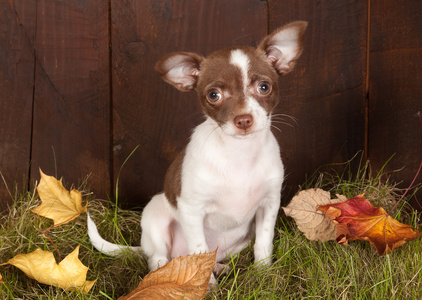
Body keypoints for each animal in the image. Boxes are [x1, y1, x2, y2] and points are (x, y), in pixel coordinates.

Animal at [88, 21, 306, 286]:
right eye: (214, 95)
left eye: (264, 87)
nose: (243, 119)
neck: (238, 153)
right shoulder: (192, 211)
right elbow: (199, 250)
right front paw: (206, 287)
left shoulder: (269, 204)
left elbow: (264, 244)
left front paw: (263, 275)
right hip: (156, 217)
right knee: (160, 259)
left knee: (210, 256)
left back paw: (219, 267)